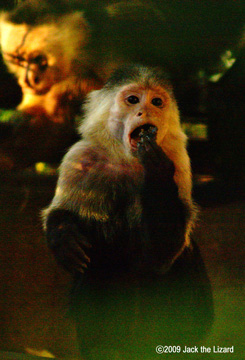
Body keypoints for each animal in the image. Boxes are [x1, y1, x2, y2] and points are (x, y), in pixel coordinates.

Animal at [43, 65, 213, 360]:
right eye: (133, 100)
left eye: (156, 102)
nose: (144, 113)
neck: (126, 159)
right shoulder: (80, 156)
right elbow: (62, 211)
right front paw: (63, 236)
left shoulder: (179, 161)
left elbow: (164, 255)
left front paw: (156, 168)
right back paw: (105, 348)